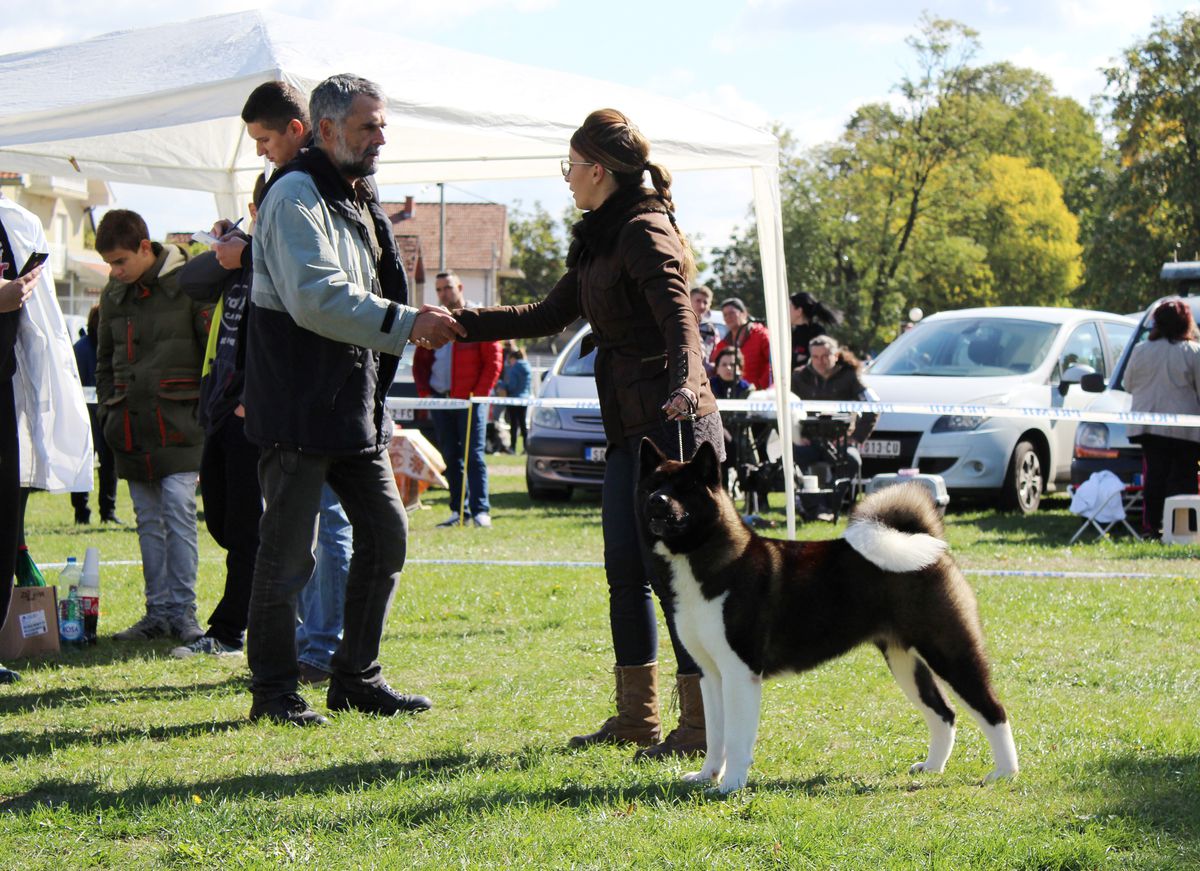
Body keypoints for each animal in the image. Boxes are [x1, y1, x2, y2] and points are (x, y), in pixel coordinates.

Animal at [638, 439, 1019, 793]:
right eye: (653, 484)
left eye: (686, 488)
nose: (657, 500)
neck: (707, 559)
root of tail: (929, 543)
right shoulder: (711, 674)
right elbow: (715, 735)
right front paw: (707, 775)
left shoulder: (739, 672)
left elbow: (735, 736)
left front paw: (730, 785)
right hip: (904, 660)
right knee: (944, 714)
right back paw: (932, 767)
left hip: (950, 651)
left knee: (993, 709)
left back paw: (1004, 772)